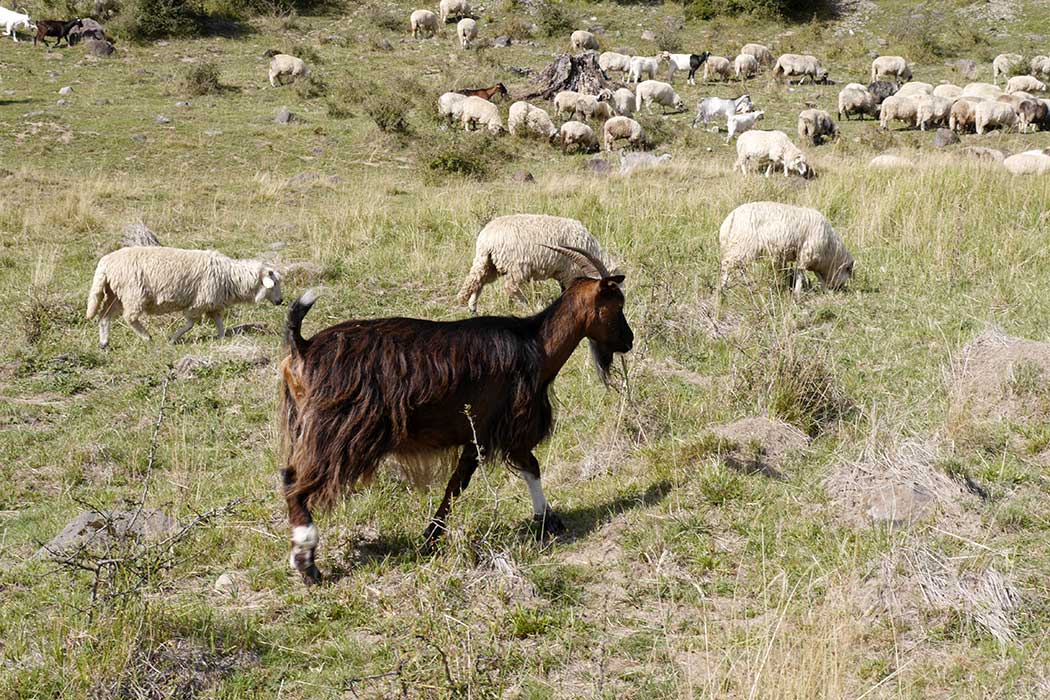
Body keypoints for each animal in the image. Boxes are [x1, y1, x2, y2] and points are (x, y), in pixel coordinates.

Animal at [278, 247, 633, 585]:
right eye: (616, 305)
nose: (628, 341)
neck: (535, 345)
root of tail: (303, 347)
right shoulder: (497, 427)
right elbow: (489, 476)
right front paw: (546, 520)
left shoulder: (485, 433)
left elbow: (475, 479)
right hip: (338, 432)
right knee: (294, 480)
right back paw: (306, 563)